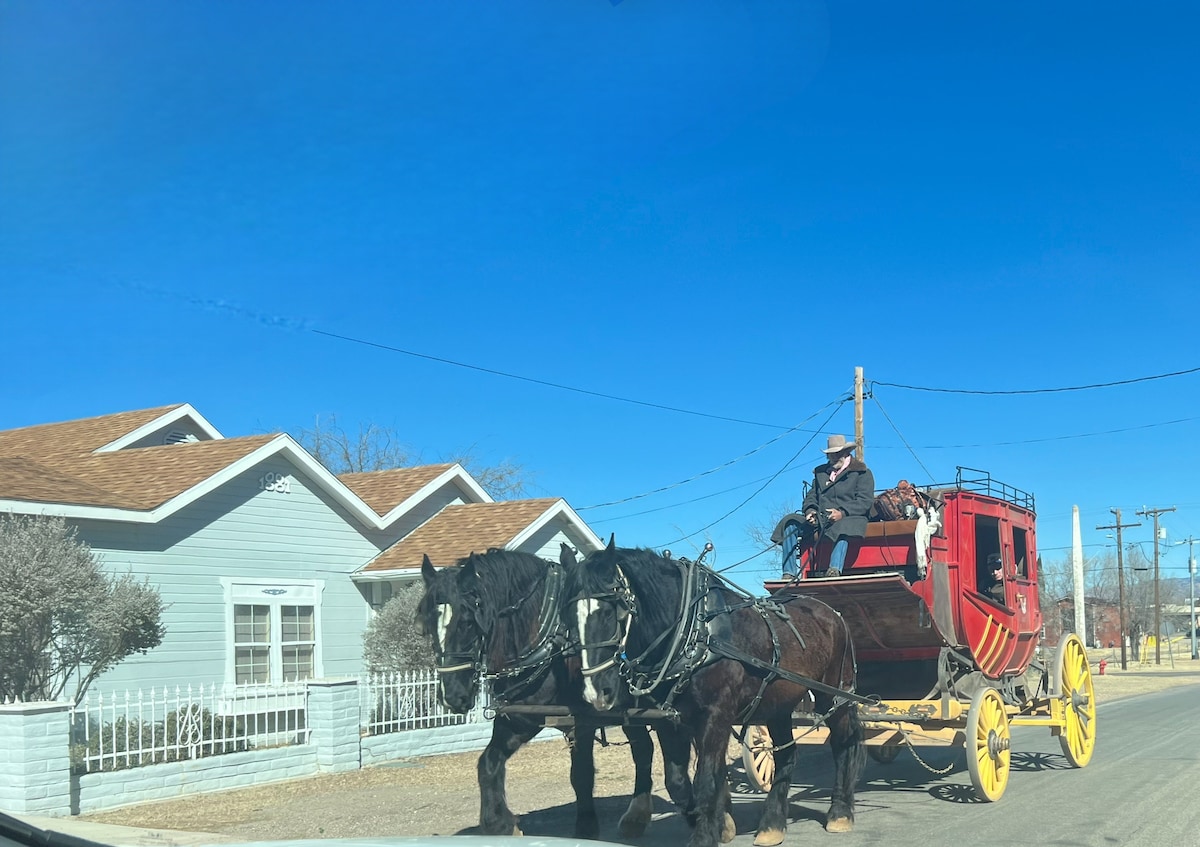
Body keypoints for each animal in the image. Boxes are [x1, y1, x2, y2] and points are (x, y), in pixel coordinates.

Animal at [417, 547, 691, 839]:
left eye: (467, 622)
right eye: (427, 626)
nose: (452, 696)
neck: (547, 636)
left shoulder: (583, 721)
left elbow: (581, 774)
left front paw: (585, 828)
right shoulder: (520, 718)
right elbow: (488, 764)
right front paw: (500, 824)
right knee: (643, 748)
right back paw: (636, 817)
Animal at [566, 542, 868, 844]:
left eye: (610, 612)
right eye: (569, 619)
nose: (595, 692)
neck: (696, 632)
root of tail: (833, 614)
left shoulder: (715, 716)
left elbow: (707, 779)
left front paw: (704, 835)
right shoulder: (670, 721)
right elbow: (677, 781)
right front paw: (717, 822)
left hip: (834, 696)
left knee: (844, 743)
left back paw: (840, 813)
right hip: (779, 705)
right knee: (787, 755)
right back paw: (772, 823)